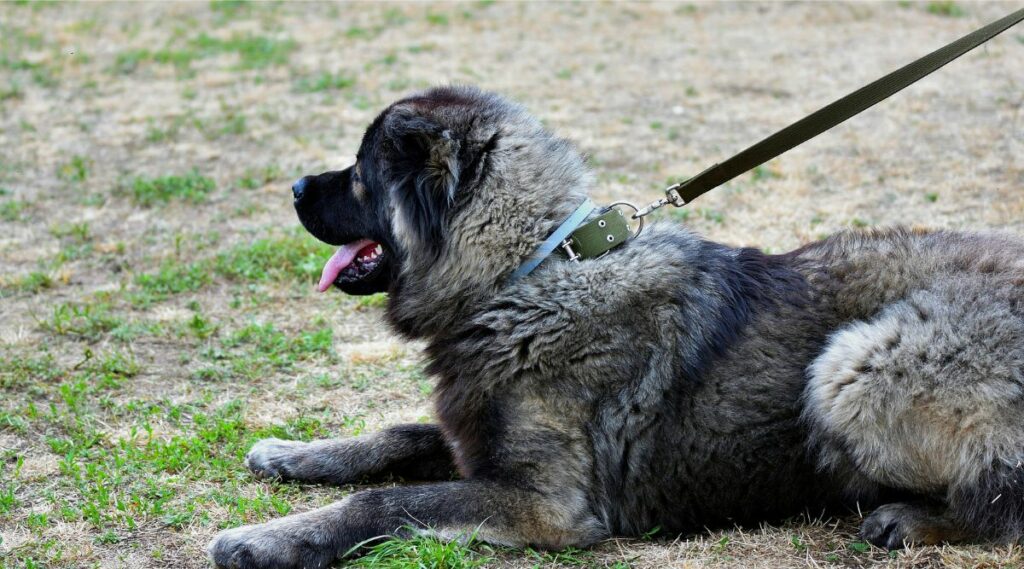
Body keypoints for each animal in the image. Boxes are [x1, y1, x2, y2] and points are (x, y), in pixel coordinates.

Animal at [207, 85, 1024, 569]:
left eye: (358, 173)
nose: (293, 187)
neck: (523, 275)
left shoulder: (543, 502)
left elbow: (385, 501)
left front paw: (269, 538)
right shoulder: (479, 439)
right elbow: (398, 435)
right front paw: (295, 454)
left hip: (852, 363)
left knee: (1001, 498)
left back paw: (910, 521)